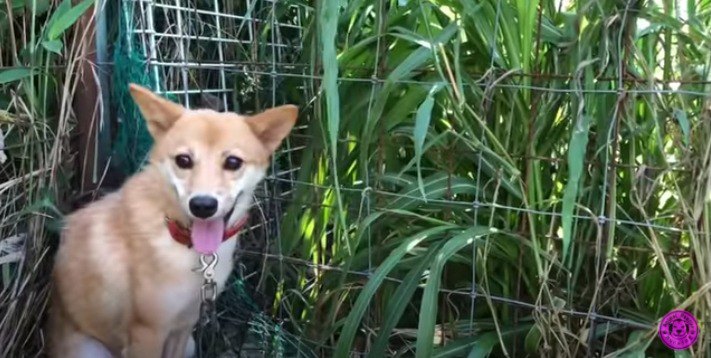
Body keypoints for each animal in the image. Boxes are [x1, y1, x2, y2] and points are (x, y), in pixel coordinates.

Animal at [47, 82, 298, 356]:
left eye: (233, 162)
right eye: (183, 160)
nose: (202, 205)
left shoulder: (184, 326)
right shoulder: (148, 331)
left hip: (189, 344)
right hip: (90, 349)